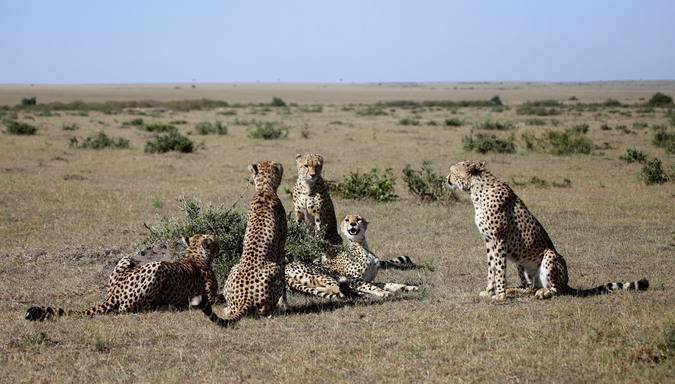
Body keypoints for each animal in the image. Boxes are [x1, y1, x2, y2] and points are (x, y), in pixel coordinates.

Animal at [25, 234, 219, 320]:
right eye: (214, 242)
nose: (218, 247)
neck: (194, 255)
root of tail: (113, 293)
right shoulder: (209, 298)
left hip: (126, 258)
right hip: (158, 267)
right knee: (126, 309)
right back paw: (164, 307)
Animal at [193, 160, 290, 326]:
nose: (281, 165)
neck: (264, 189)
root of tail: (246, 296)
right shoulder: (281, 248)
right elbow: (284, 279)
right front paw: (285, 304)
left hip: (234, 268)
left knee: (230, 310)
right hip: (273, 268)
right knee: (266, 312)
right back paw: (277, 310)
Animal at [448, 160, 648, 302]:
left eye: (452, 171)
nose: (446, 179)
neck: (476, 188)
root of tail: (567, 283)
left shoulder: (499, 240)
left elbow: (499, 268)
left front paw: (500, 294)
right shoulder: (489, 241)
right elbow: (492, 268)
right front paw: (490, 290)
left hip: (550, 254)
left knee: (556, 290)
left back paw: (543, 293)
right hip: (521, 261)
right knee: (529, 286)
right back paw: (516, 289)